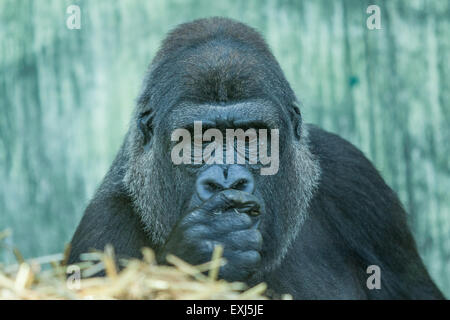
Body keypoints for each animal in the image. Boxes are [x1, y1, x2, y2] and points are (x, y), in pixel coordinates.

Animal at [68, 16, 444, 298]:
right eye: (197, 139)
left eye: (251, 135)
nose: (227, 179)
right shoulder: (102, 229)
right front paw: (207, 246)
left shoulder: (356, 179)